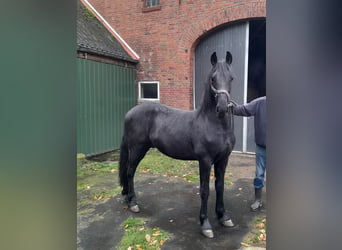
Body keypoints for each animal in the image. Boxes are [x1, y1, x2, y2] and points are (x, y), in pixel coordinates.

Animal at [119, 51, 235, 238]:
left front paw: (223, 217)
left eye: (231, 78)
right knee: (130, 172)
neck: (212, 123)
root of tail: (130, 113)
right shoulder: (205, 161)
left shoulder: (223, 160)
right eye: (213, 79)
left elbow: (220, 187)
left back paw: (127, 197)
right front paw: (205, 225)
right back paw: (133, 203)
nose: (222, 108)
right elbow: (204, 190)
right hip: (137, 150)